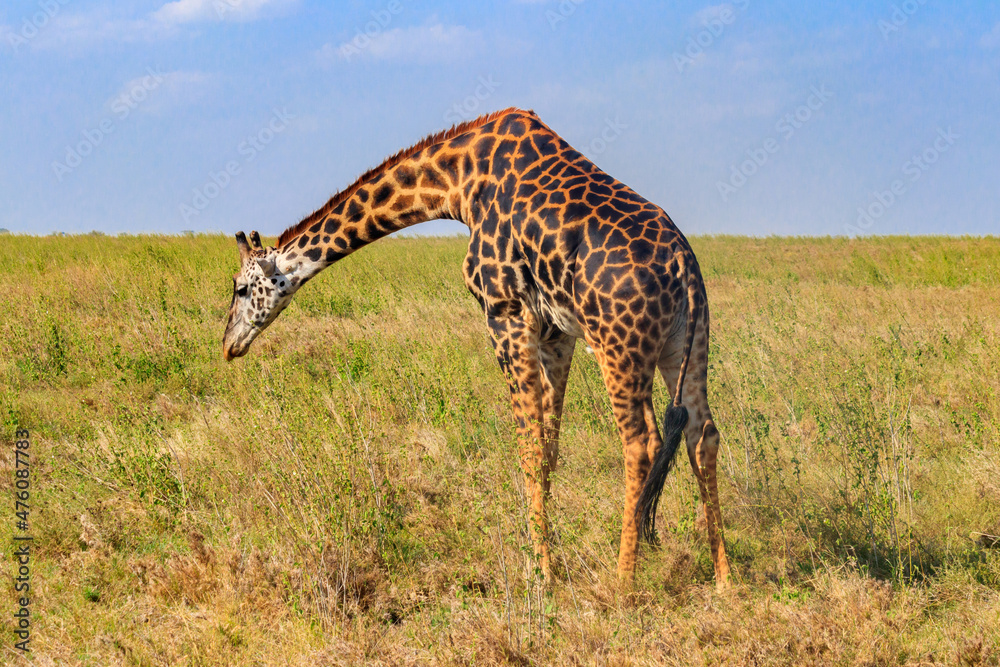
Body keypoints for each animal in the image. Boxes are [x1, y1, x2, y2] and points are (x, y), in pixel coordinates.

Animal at [222, 108, 731, 589]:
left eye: (241, 289)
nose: (228, 345)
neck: (456, 184)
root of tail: (684, 265)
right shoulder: (557, 331)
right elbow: (549, 444)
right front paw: (546, 555)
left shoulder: (505, 311)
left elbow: (527, 445)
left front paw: (541, 573)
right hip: (687, 344)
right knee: (702, 433)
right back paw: (723, 577)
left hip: (619, 348)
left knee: (641, 443)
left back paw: (624, 582)